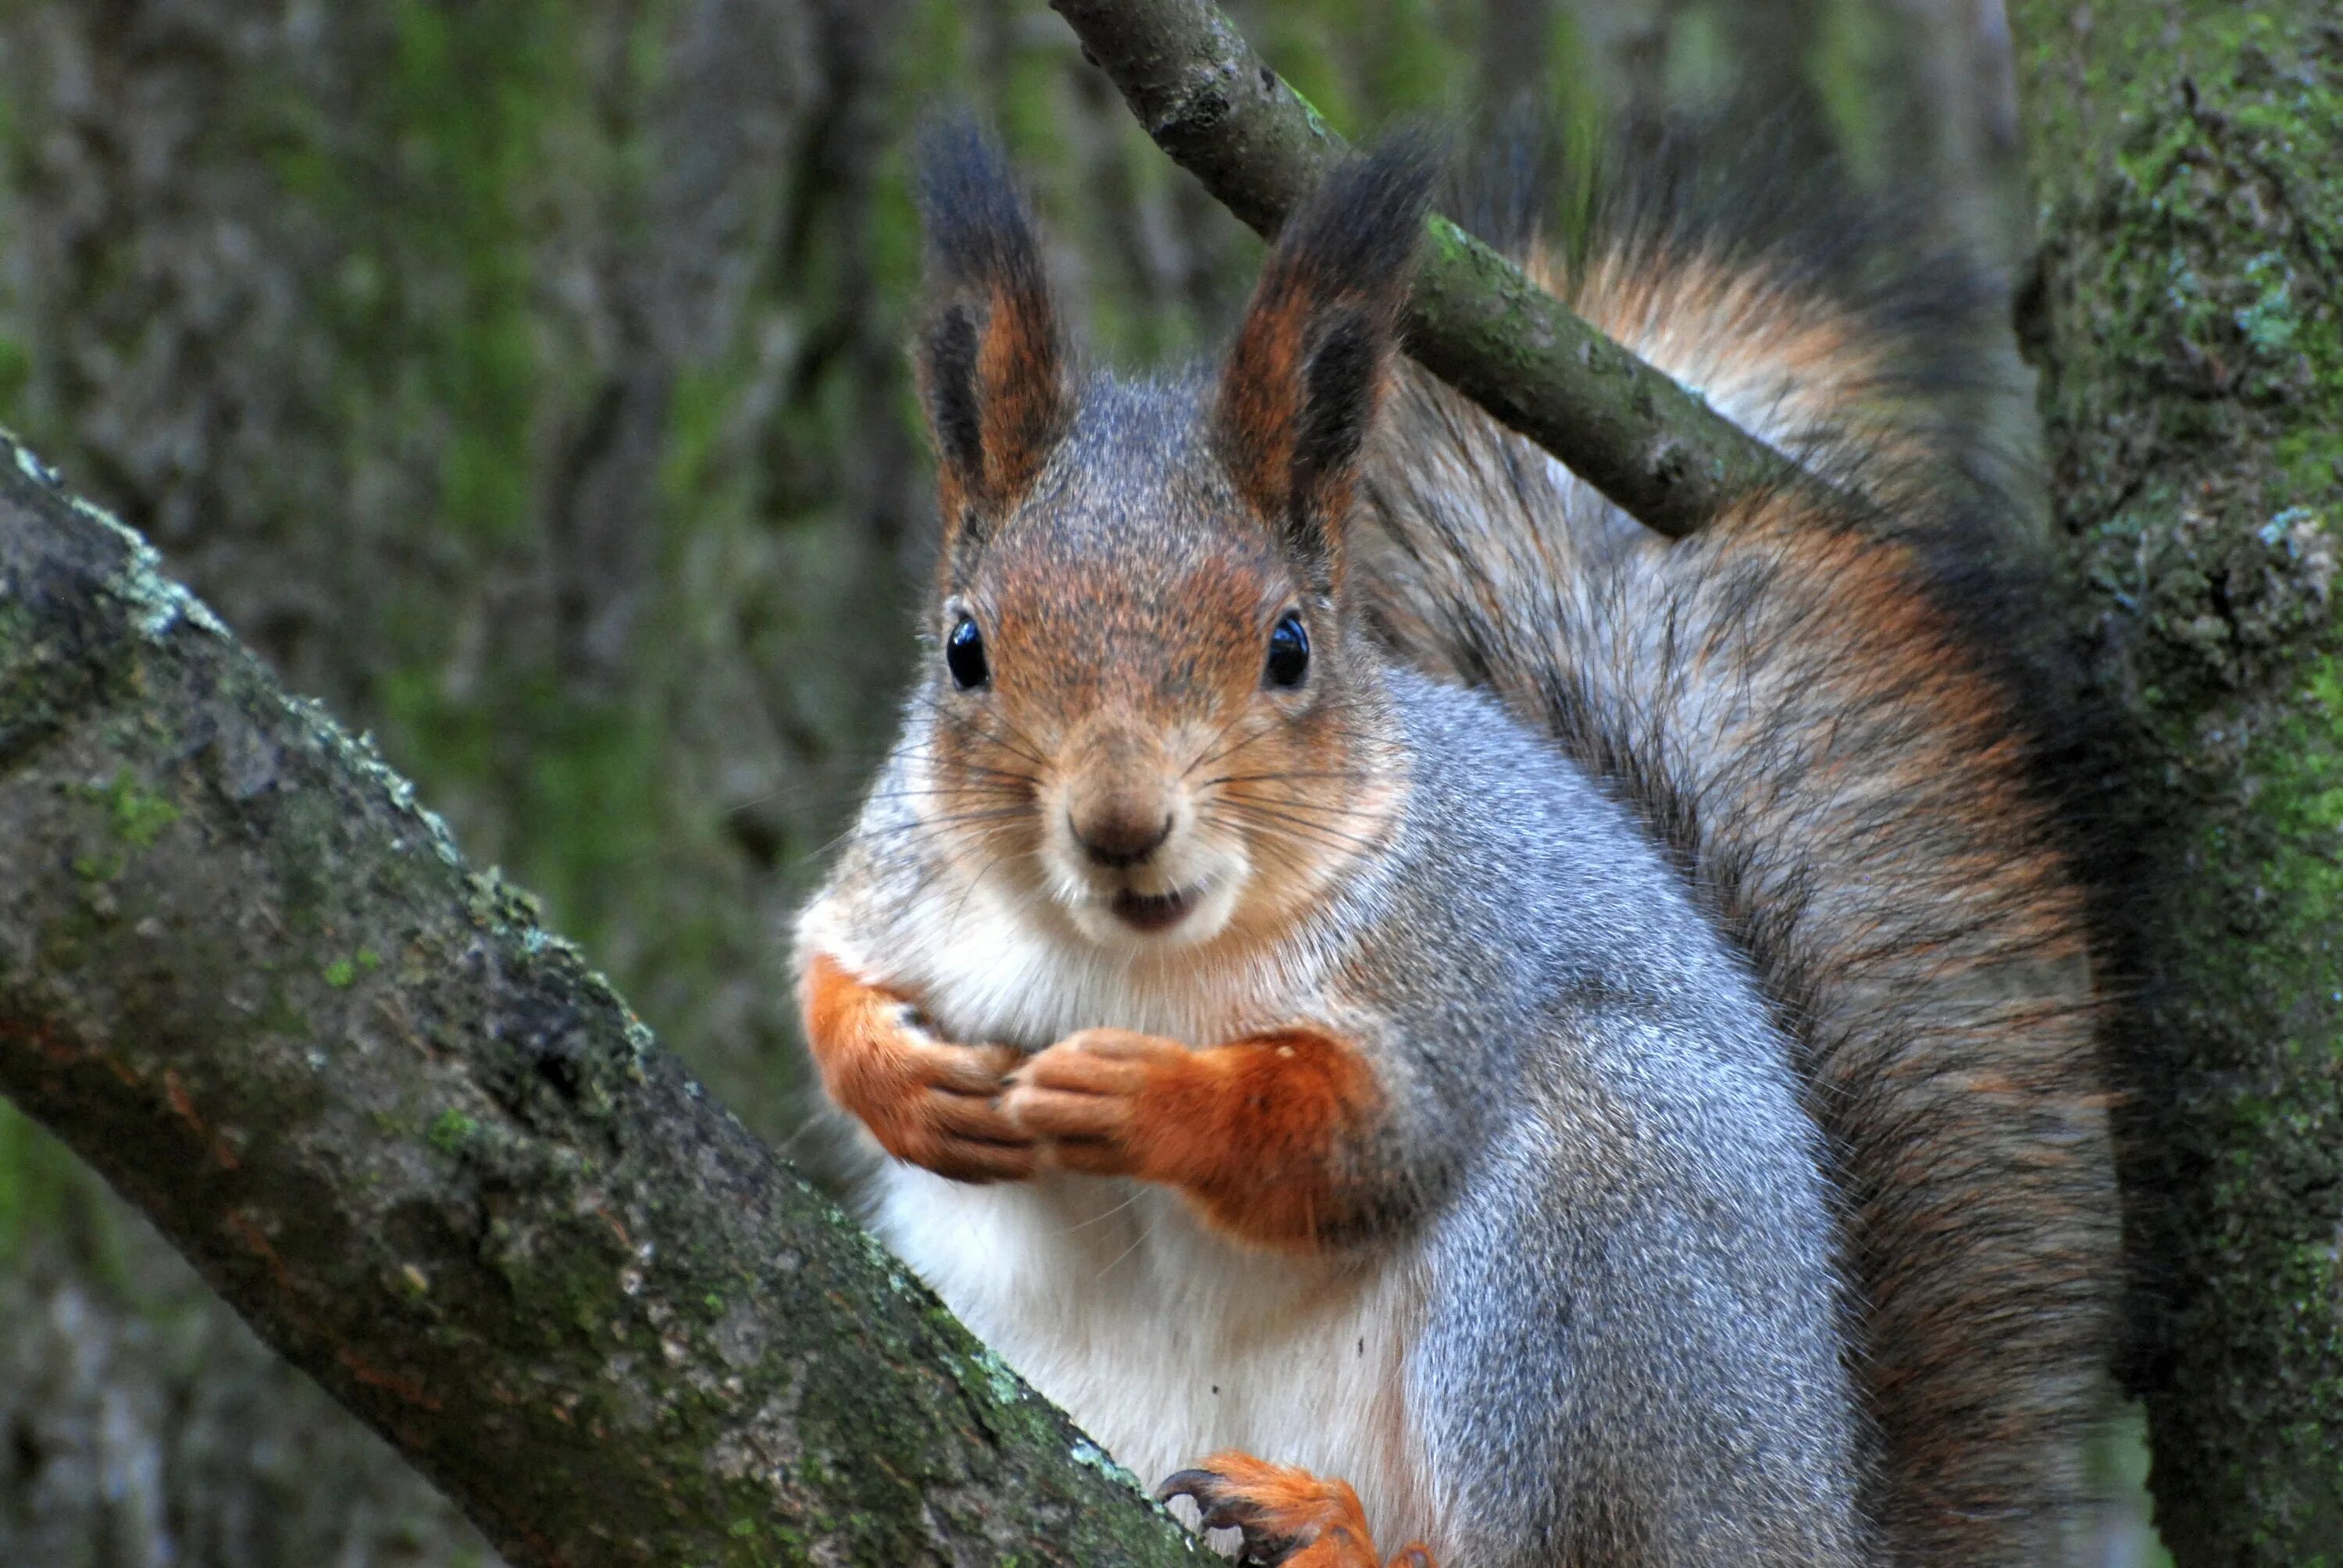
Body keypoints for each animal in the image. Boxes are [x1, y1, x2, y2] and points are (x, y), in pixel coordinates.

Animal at [792, 125, 2127, 1565]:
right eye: (963, 648)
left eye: (1290, 646)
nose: (1120, 826)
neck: (1132, 953)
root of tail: (1816, 1518)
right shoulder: (899, 873)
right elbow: (824, 972)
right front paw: (908, 1086)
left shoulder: (1450, 948)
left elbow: (1362, 1139)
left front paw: (1141, 1094)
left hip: (1601, 1243)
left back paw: (1336, 1529)